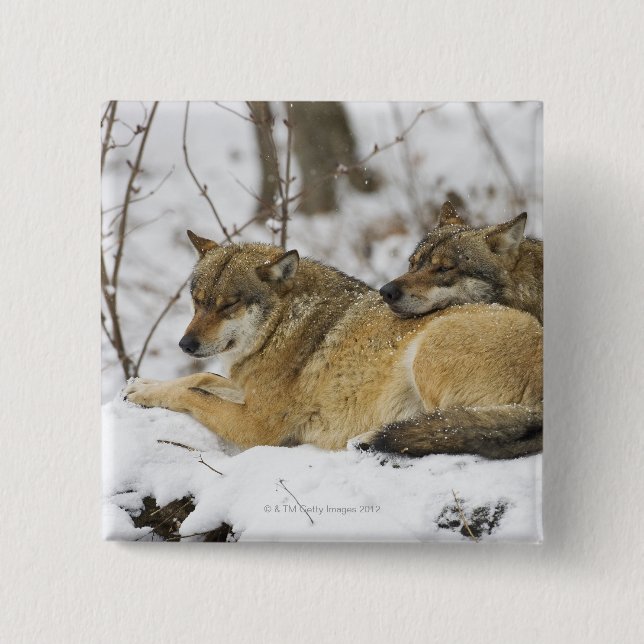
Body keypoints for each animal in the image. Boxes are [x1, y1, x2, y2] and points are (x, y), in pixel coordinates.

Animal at [124, 232, 543, 459]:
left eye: (228, 305)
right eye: (197, 302)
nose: (185, 344)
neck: (283, 326)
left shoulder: (257, 428)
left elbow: (192, 392)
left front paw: (146, 393)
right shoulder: (245, 391)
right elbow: (199, 379)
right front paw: (141, 385)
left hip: (427, 355)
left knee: (450, 429)